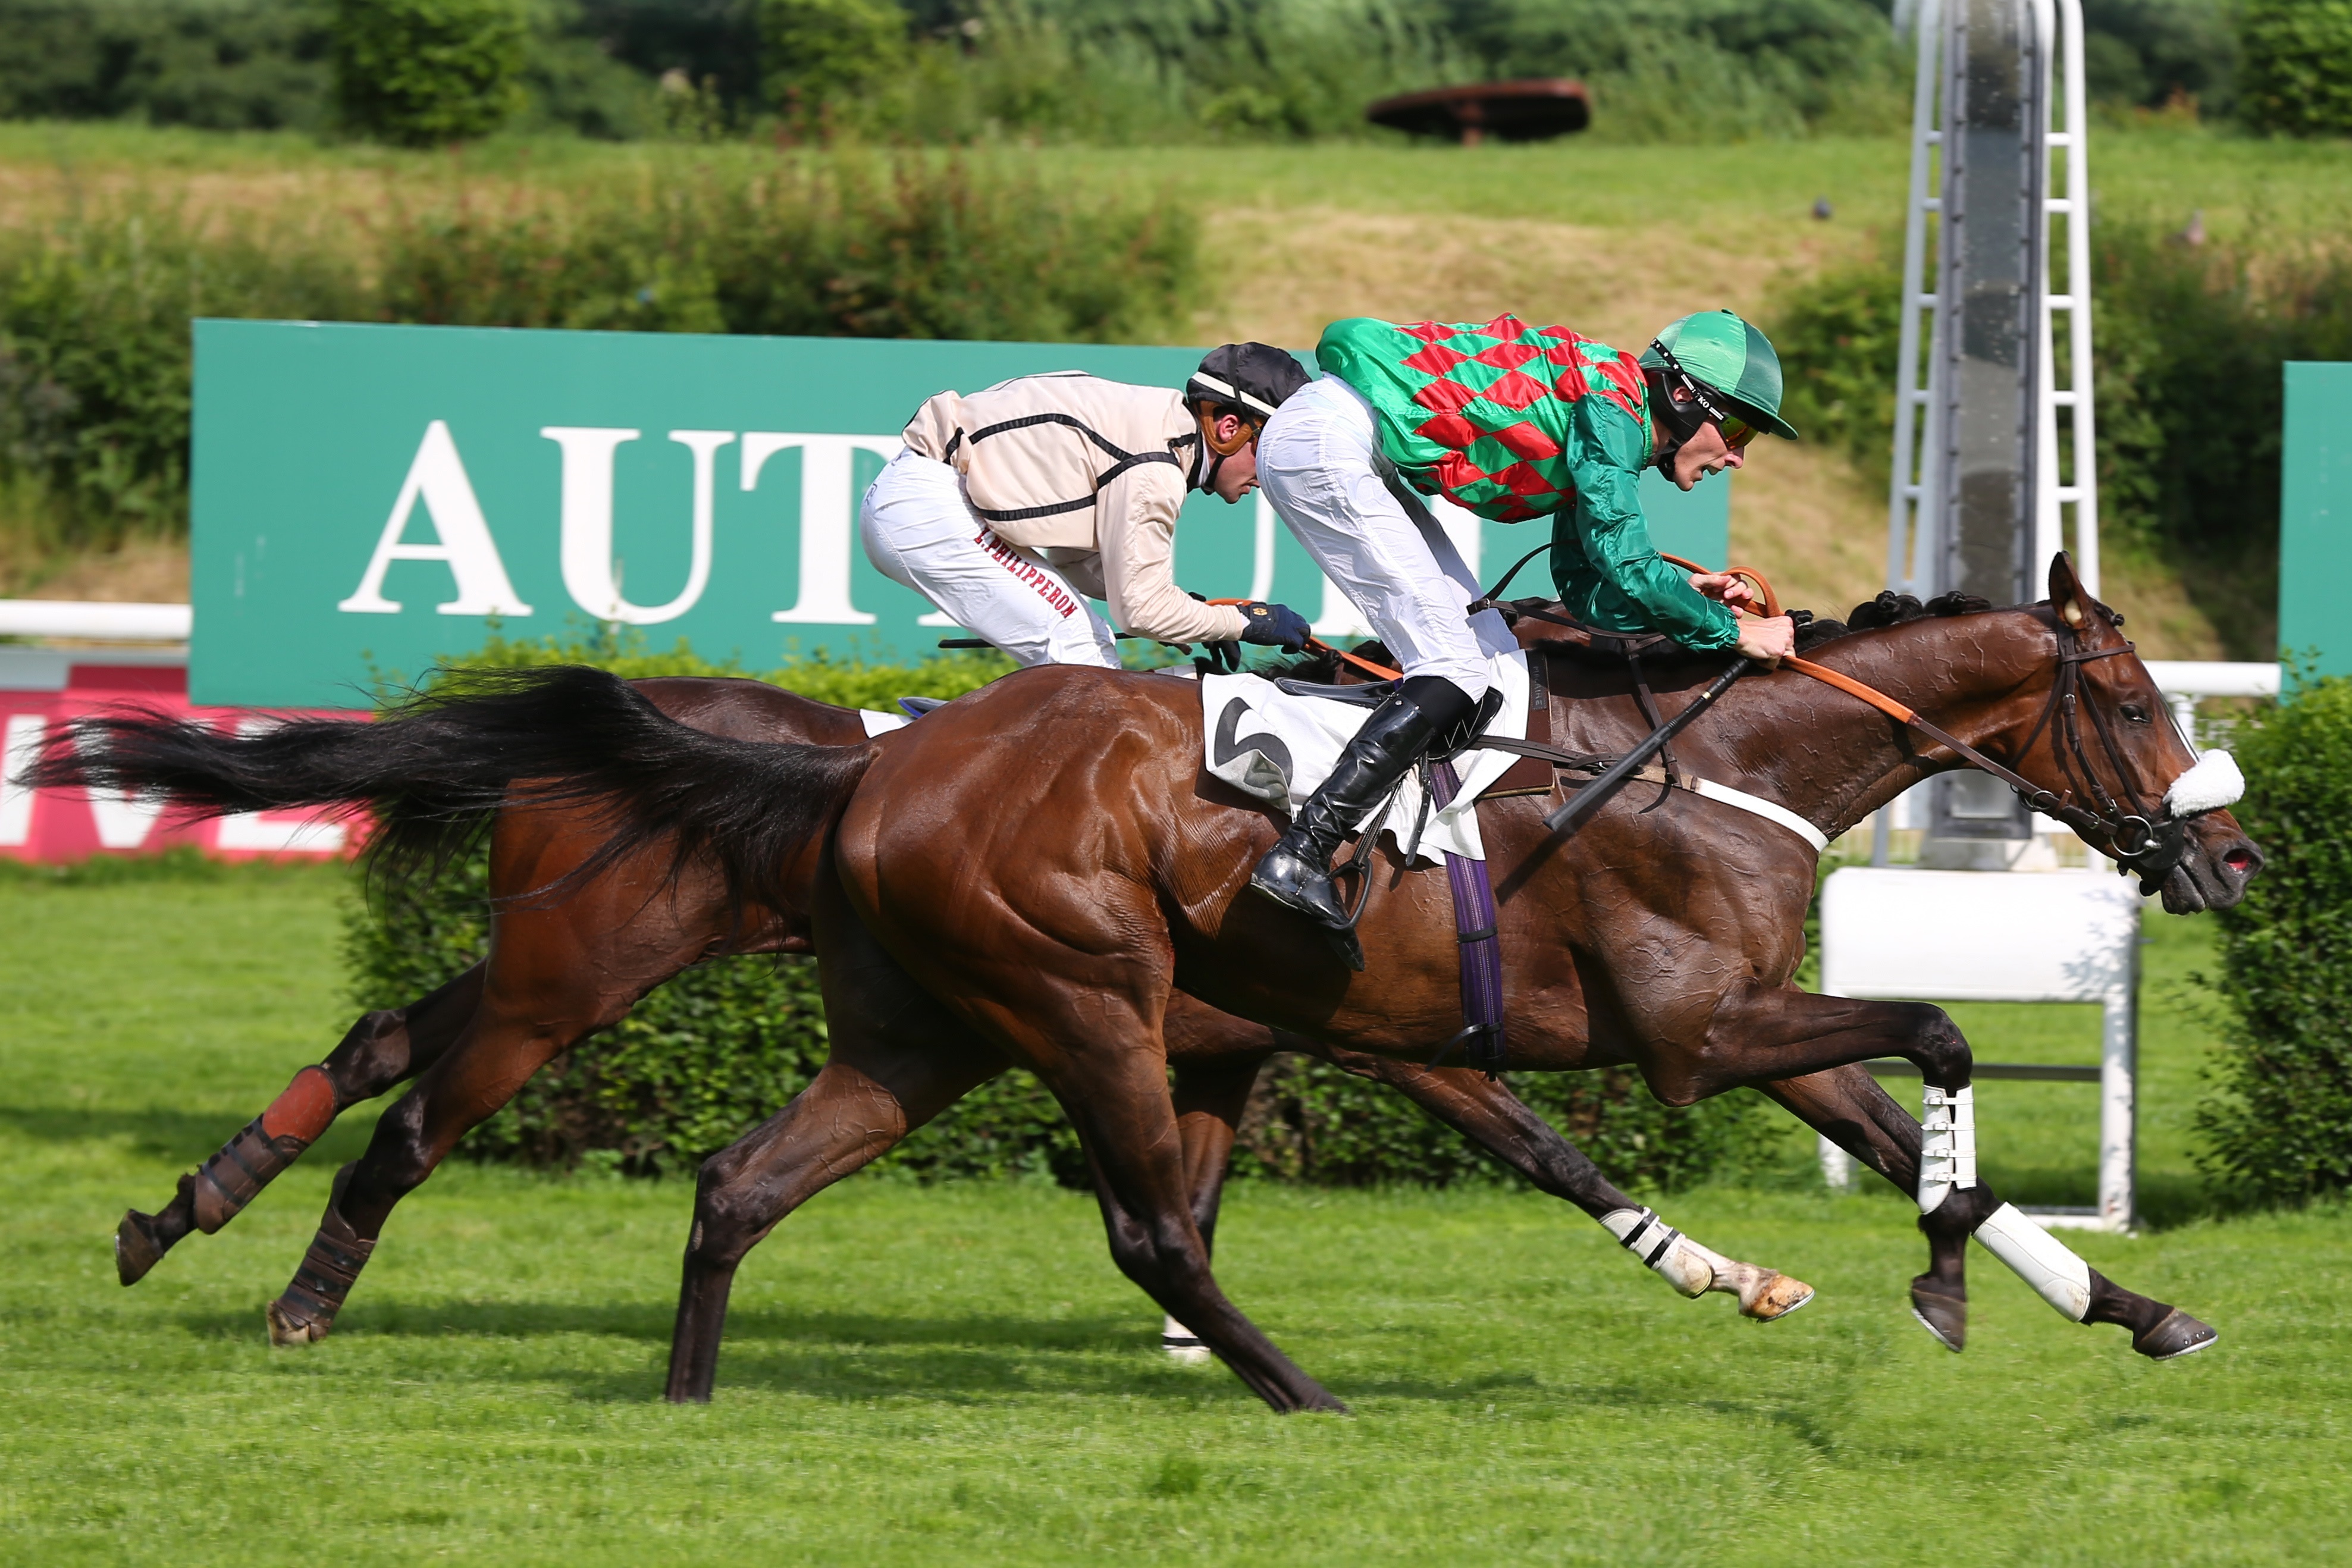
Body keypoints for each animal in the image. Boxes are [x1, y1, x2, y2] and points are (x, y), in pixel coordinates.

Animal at [68, 677, 1796, 1354]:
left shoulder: (1247, 1042)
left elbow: (1202, 1185)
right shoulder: (1380, 1036)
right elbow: (1541, 1148)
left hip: (545, 961)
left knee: (380, 1039)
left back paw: (180, 1214)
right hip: (572, 979)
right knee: (422, 1114)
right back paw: (302, 1289)